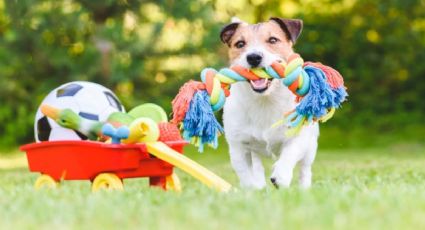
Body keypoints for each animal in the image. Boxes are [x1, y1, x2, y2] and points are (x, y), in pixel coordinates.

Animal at [220, 16, 316, 189]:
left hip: (311, 146)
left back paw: (304, 187)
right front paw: (252, 189)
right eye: (240, 44)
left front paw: (281, 176)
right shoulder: (238, 147)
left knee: (305, 168)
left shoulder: (298, 136)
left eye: (273, 40)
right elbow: (246, 174)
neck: (265, 100)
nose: (253, 57)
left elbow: (289, 153)